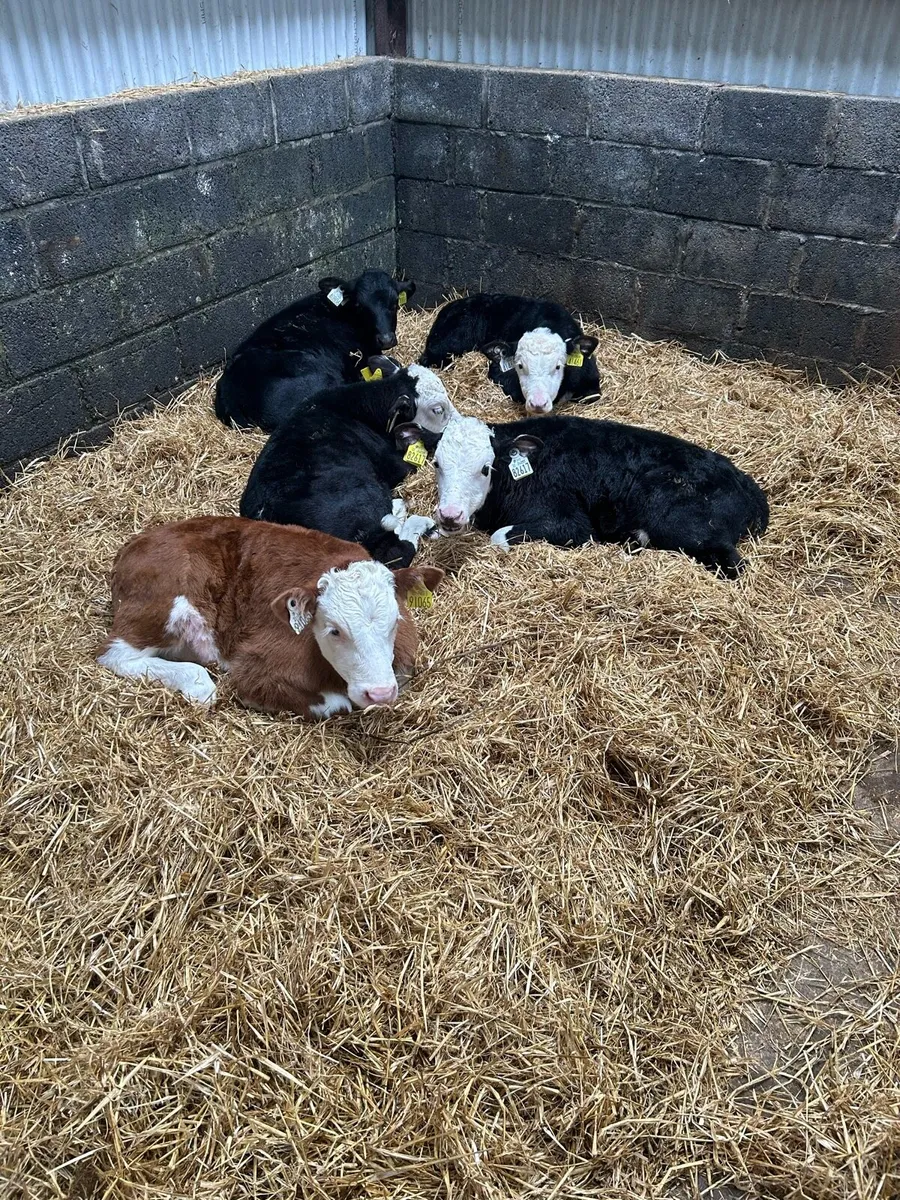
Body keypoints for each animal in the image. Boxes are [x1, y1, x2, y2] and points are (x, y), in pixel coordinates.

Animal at [98, 517, 444, 717]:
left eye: (394, 623)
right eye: (334, 630)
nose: (380, 693)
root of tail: (134, 544)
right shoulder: (257, 667)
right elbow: (337, 703)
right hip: (162, 606)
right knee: (114, 654)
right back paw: (199, 685)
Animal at [432, 414, 768, 578]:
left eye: (485, 468)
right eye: (437, 464)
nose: (450, 514)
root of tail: (747, 484)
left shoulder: (568, 523)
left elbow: (499, 537)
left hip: (687, 527)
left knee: (733, 566)